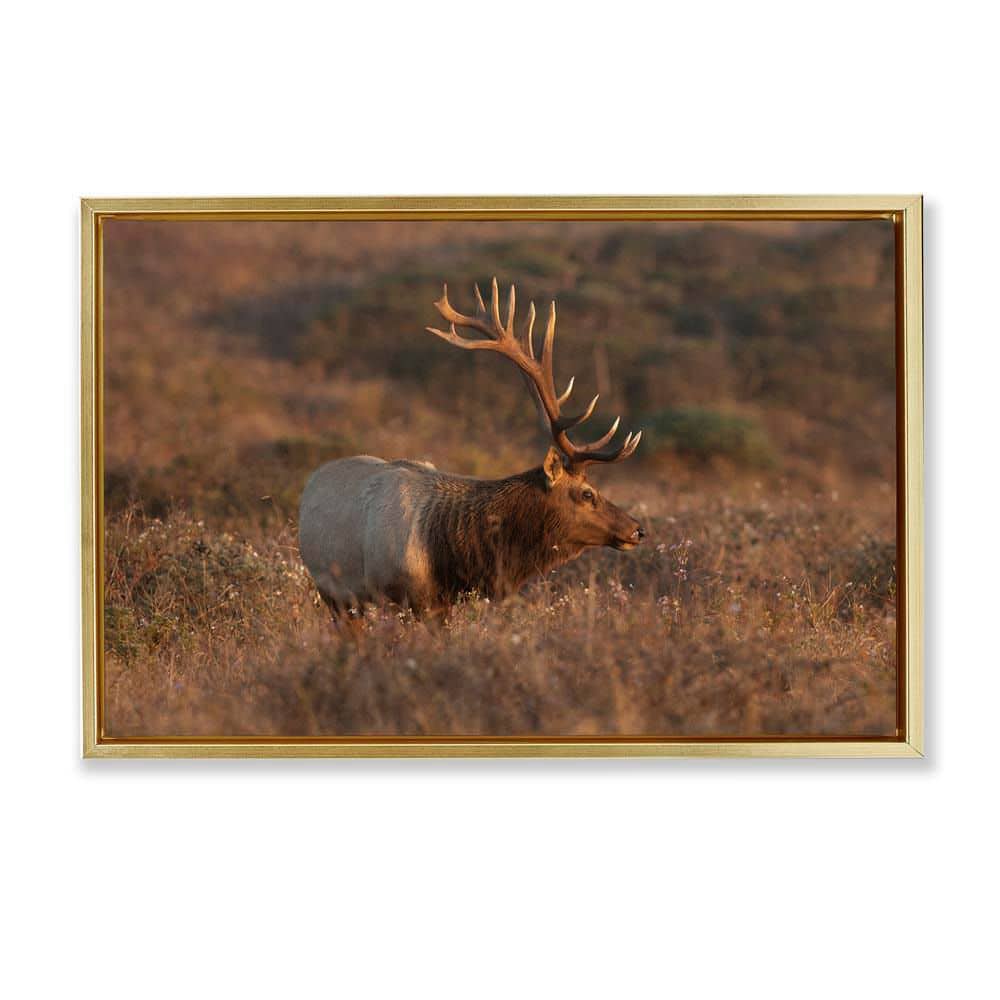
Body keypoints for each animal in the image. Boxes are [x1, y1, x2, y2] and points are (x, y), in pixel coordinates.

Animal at [298, 278, 645, 619]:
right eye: (587, 493)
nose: (637, 529)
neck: (447, 556)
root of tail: (313, 480)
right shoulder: (399, 597)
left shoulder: (441, 605)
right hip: (335, 595)